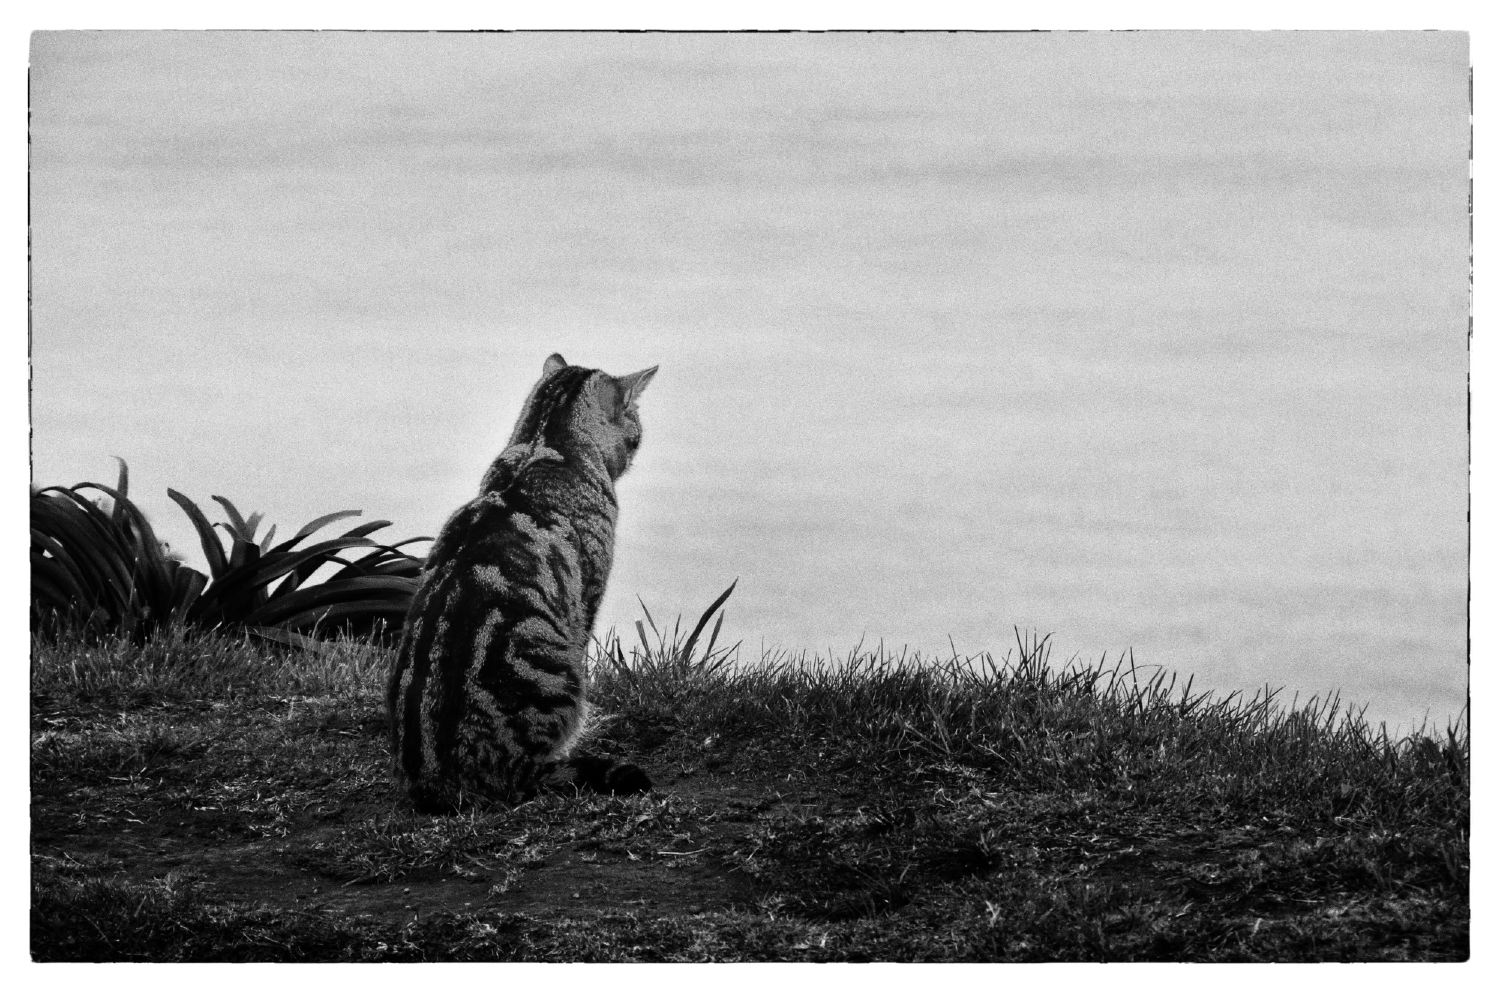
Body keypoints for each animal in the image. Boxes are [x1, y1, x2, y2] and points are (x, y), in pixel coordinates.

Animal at [387, 353, 657, 812]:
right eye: (636, 433)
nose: (637, 450)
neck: (540, 446)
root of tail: (436, 779)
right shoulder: (586, 598)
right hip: (559, 675)